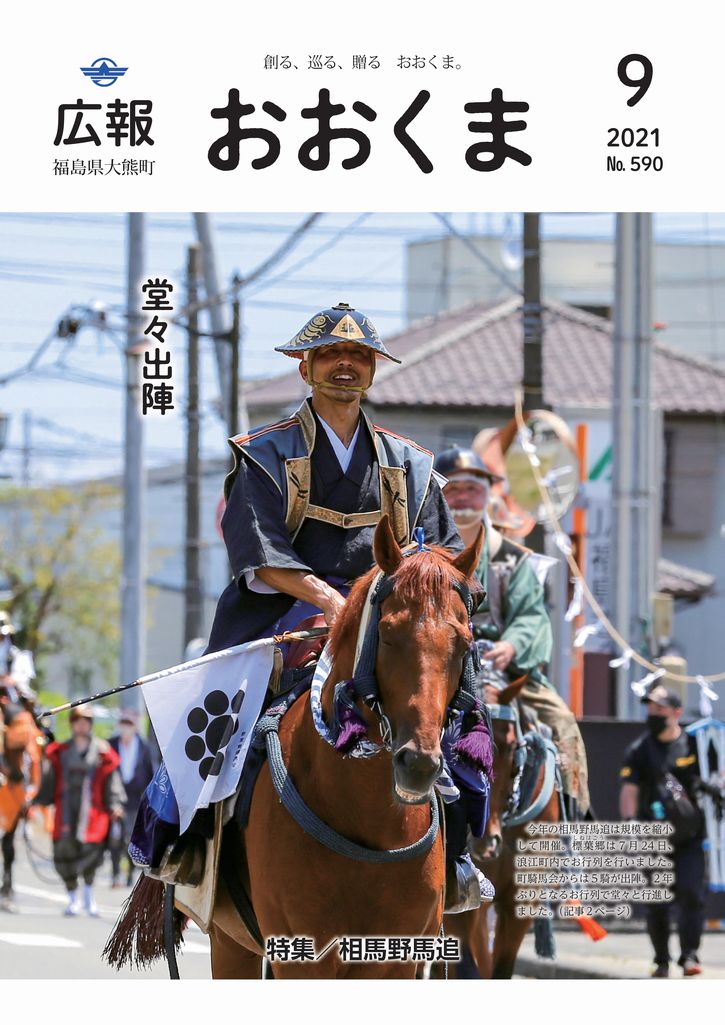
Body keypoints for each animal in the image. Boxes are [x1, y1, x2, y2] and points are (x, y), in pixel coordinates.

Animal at [208, 516, 481, 979]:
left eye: (463, 644)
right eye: (387, 633)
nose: (418, 765)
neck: (369, 817)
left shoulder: (400, 957)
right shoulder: (302, 956)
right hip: (229, 942)